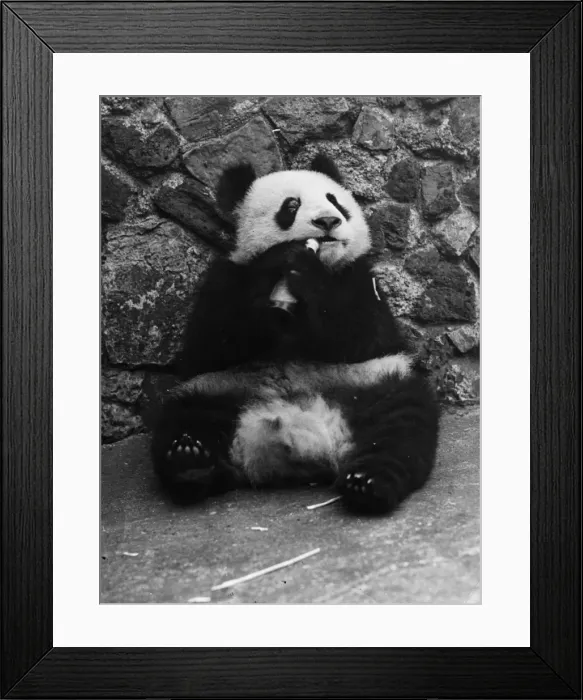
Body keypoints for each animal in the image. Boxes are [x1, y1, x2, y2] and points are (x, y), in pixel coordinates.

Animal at [151, 154, 440, 513]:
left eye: (336, 201)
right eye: (291, 205)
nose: (328, 221)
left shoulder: (360, 279)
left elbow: (362, 334)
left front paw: (305, 272)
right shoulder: (224, 277)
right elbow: (208, 345)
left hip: (373, 381)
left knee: (402, 422)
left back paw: (368, 483)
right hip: (219, 389)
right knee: (185, 417)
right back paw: (189, 461)